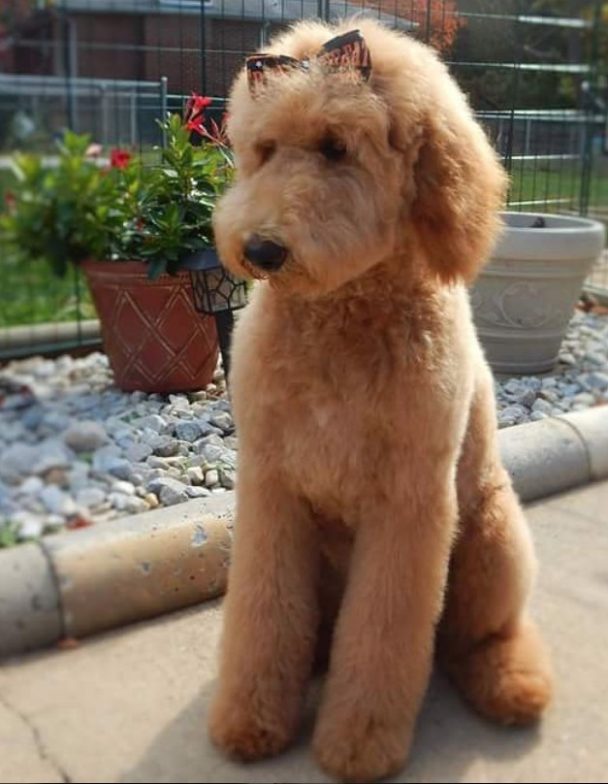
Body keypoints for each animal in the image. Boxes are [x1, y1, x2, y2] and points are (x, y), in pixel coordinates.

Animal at [207, 18, 552, 784]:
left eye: (337, 148)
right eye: (264, 150)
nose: (260, 249)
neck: (341, 317)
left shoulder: (408, 503)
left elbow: (384, 636)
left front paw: (359, 745)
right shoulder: (272, 489)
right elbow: (263, 615)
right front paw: (250, 720)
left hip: (492, 540)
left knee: (480, 636)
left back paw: (512, 684)